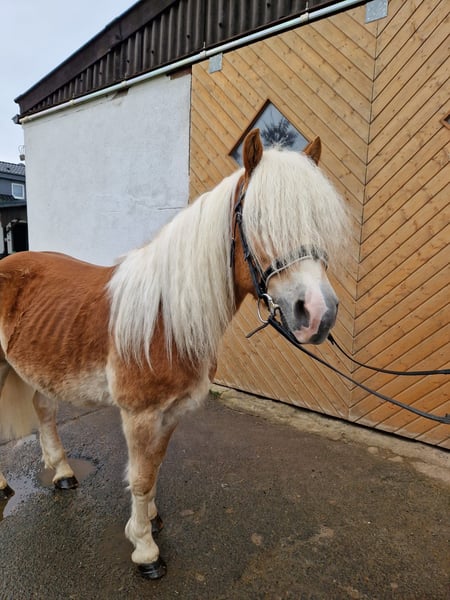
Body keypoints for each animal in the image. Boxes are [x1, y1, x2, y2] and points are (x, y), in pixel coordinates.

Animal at [0, 129, 348, 579]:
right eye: (258, 220)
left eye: (318, 223)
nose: (319, 313)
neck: (166, 318)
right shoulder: (140, 415)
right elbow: (141, 476)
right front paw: (145, 550)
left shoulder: (171, 413)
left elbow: (155, 468)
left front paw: (149, 520)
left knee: (44, 410)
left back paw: (62, 473)